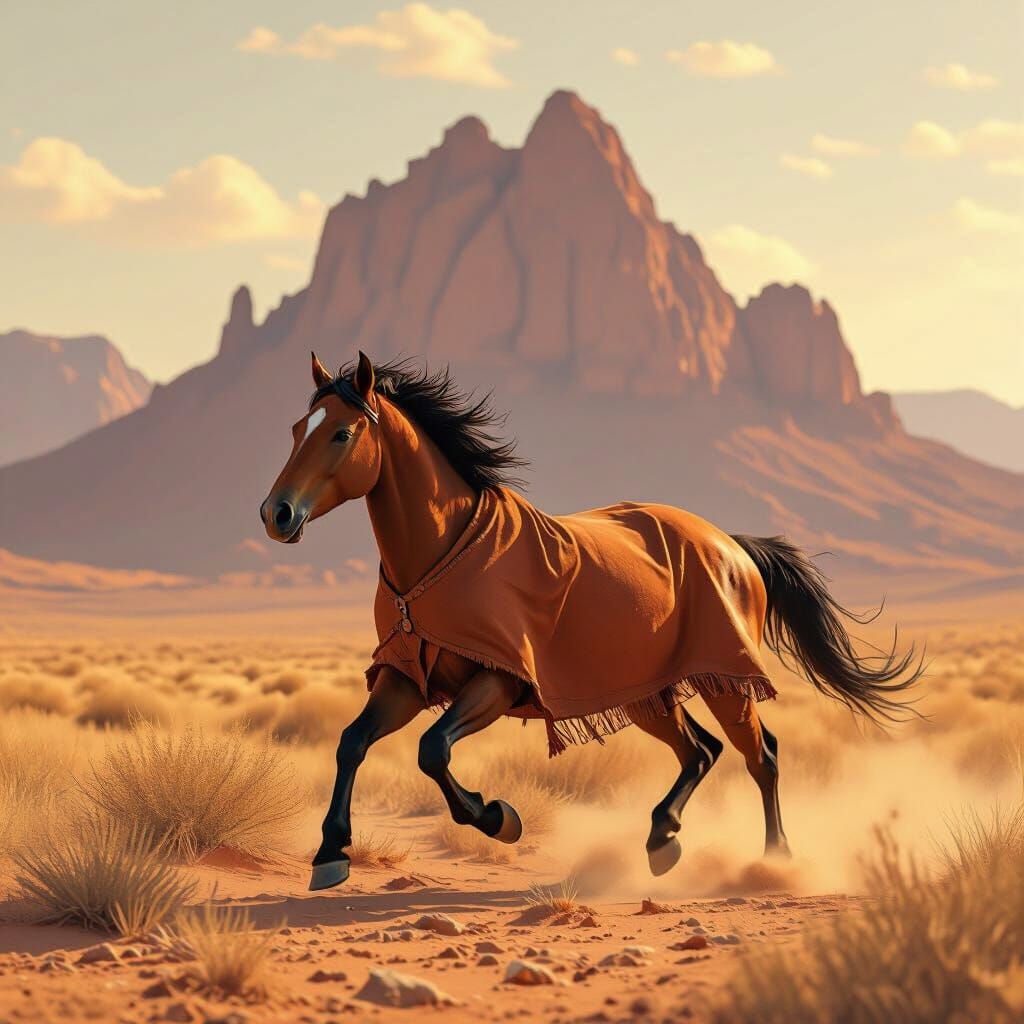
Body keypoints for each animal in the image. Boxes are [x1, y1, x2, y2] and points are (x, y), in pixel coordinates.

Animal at [261, 352, 923, 892]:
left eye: (341, 433)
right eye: (295, 430)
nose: (276, 513)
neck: (445, 551)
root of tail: (731, 545)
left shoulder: (499, 681)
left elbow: (432, 750)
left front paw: (499, 818)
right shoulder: (405, 679)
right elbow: (352, 743)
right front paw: (329, 853)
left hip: (722, 679)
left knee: (762, 755)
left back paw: (775, 860)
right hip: (647, 693)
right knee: (702, 752)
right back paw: (662, 839)